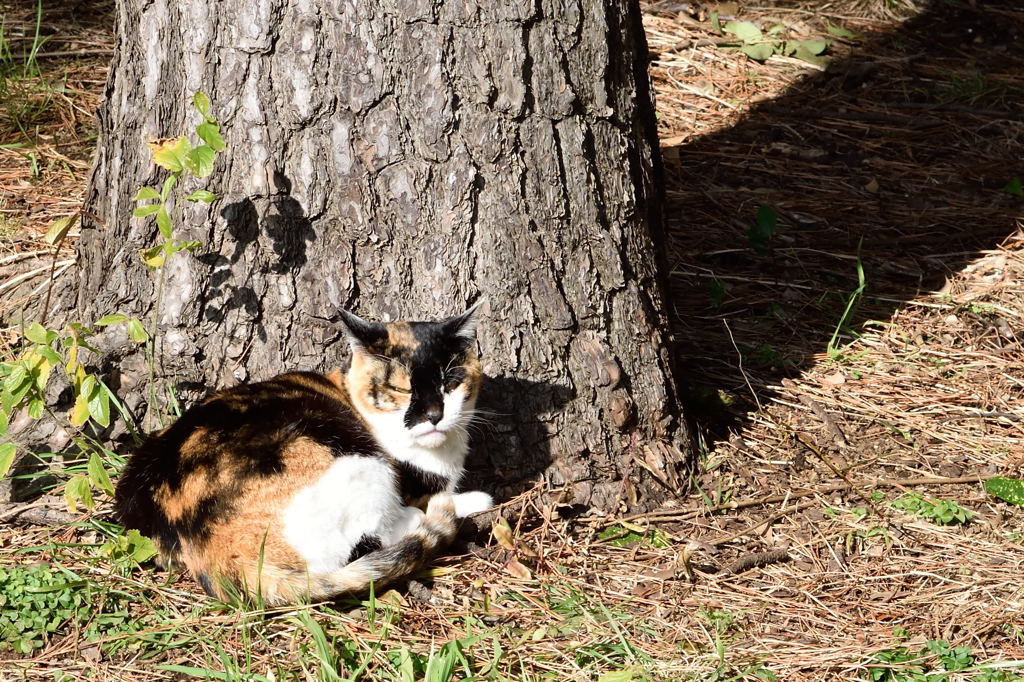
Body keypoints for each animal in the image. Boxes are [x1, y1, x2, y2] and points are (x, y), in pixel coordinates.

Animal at [114, 305, 493, 602]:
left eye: (450, 384)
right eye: (399, 389)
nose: (433, 415)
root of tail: (221, 559)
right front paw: (469, 498)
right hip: (356, 461)